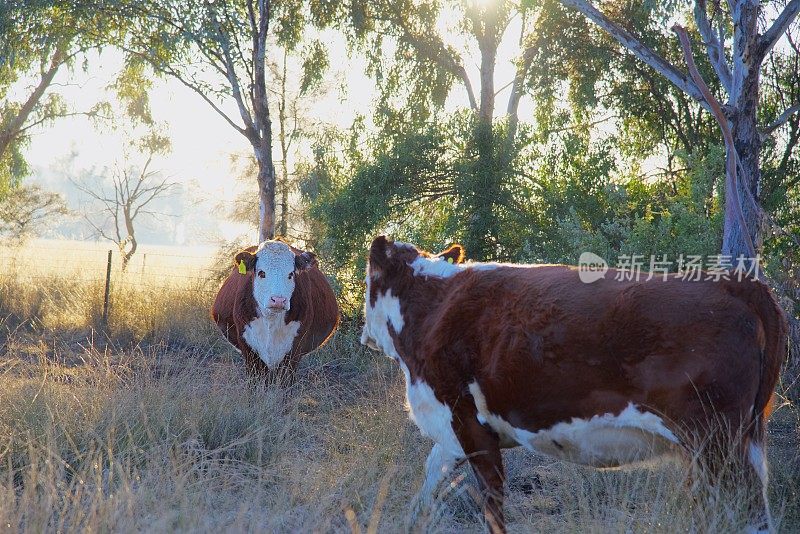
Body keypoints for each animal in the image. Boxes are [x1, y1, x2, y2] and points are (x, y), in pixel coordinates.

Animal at [211, 241, 340, 384]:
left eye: (291, 274)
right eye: (261, 273)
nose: (278, 300)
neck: (271, 320)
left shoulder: (294, 348)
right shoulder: (248, 346)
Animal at [362, 239, 788, 534]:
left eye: (368, 281)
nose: (364, 335)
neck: (433, 308)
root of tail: (735, 283)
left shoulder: (464, 420)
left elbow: (491, 504)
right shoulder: (458, 433)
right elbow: (430, 478)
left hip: (717, 441)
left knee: (749, 514)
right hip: (740, 440)